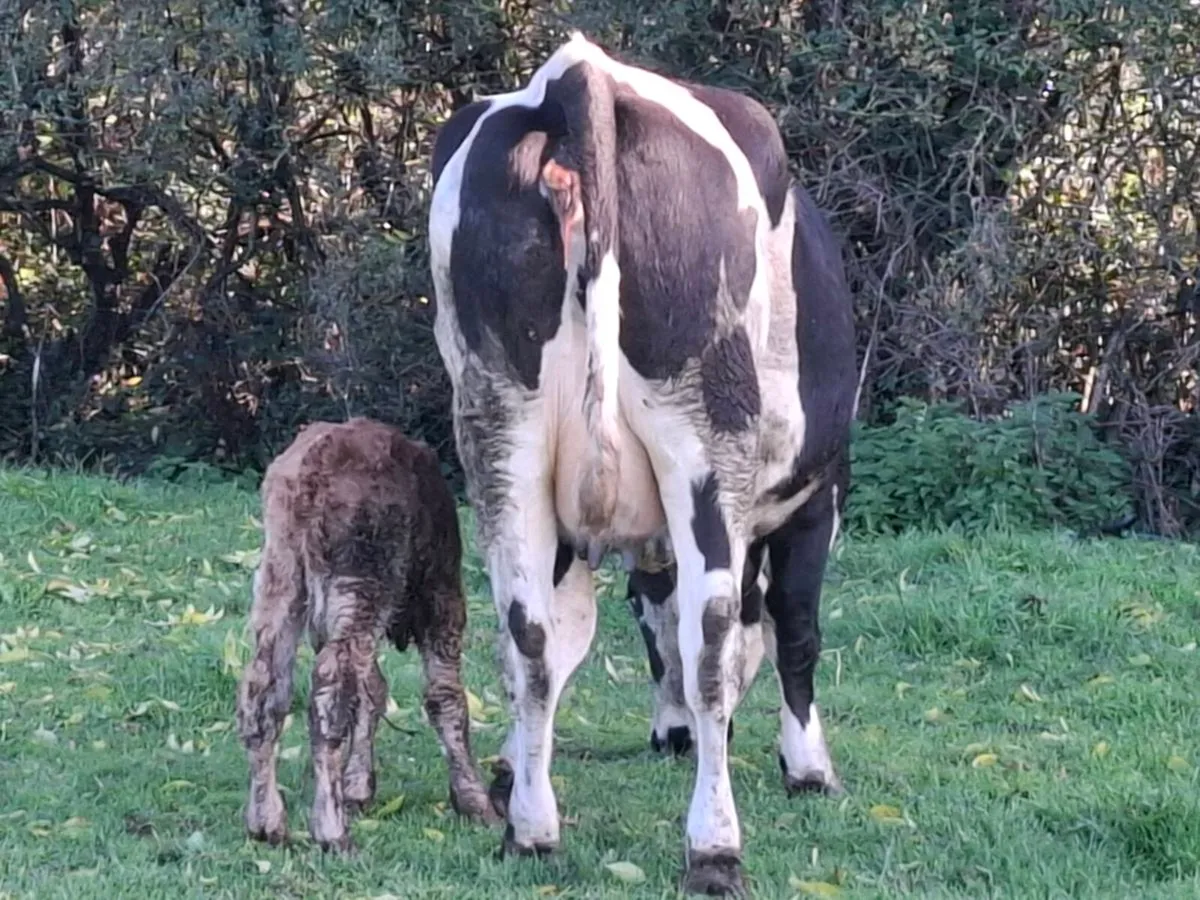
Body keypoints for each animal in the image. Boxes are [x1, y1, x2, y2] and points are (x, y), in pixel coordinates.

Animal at [235, 418, 498, 854]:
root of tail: (309, 467)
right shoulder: (442, 598)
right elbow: (445, 697)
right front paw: (475, 802)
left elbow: (372, 688)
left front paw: (358, 788)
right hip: (361, 582)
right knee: (329, 687)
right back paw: (331, 831)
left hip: (282, 578)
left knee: (264, 686)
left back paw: (266, 822)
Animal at [427, 33, 857, 896]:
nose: (671, 739)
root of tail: (576, 74)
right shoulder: (817, 492)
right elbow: (792, 630)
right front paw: (808, 768)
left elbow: (574, 643)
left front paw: (517, 772)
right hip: (703, 440)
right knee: (713, 639)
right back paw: (715, 845)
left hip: (499, 437)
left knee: (525, 633)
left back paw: (532, 830)